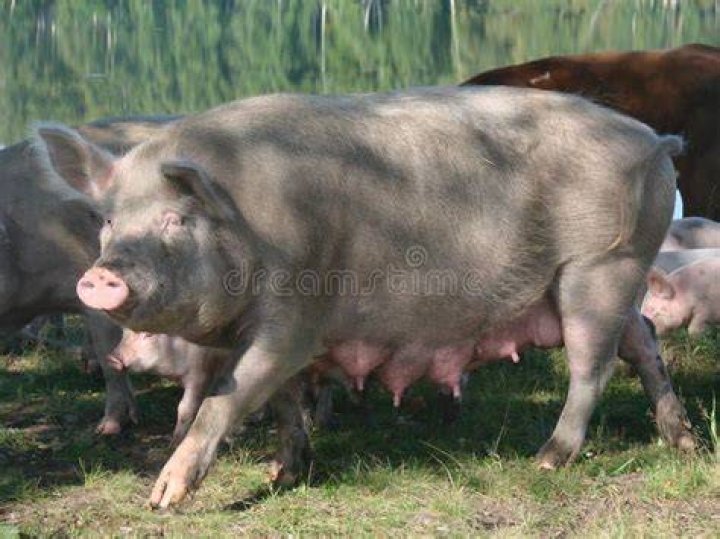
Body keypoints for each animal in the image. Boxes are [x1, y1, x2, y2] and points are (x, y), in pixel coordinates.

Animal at [36, 86, 694, 508]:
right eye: (107, 221)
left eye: (176, 220)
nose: (101, 276)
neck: (251, 223)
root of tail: (654, 140)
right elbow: (280, 401)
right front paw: (281, 474)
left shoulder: (294, 319)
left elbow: (225, 400)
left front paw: (161, 500)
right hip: (611, 277)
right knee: (643, 341)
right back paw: (682, 441)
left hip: (601, 266)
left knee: (593, 366)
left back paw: (548, 458)